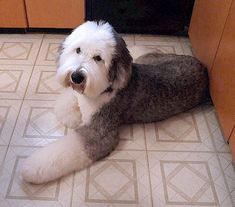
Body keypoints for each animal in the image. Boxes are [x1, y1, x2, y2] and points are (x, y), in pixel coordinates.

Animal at [20, 21, 208, 184]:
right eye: (78, 50)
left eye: (98, 58)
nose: (76, 76)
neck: (104, 89)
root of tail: (203, 67)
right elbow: (70, 101)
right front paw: (70, 113)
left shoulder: (100, 133)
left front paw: (32, 167)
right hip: (150, 58)